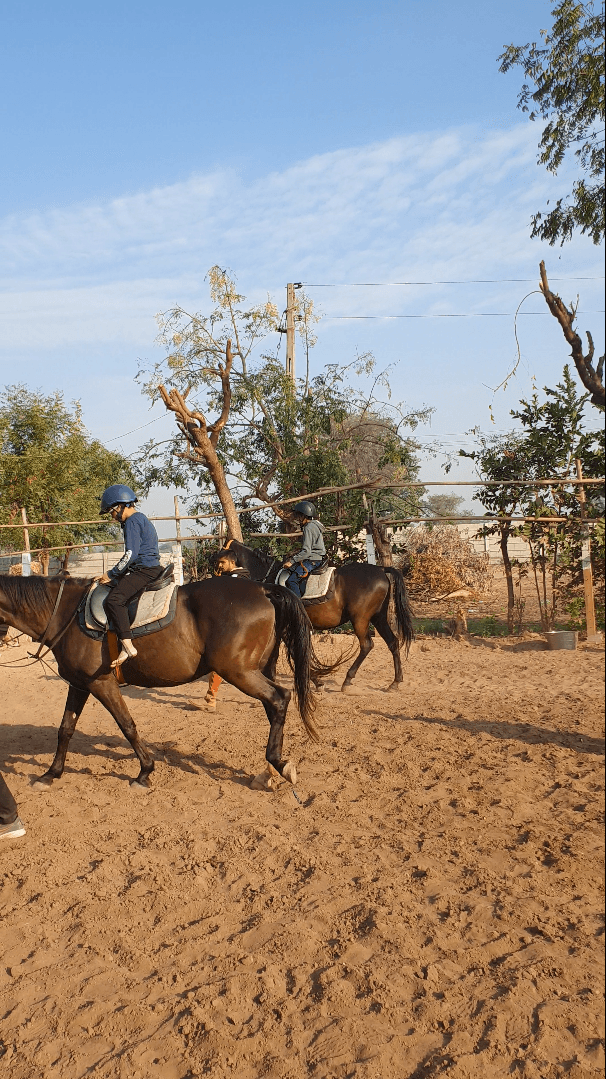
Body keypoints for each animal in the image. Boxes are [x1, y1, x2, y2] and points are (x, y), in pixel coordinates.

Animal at [0, 574, 325, 794]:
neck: (67, 614)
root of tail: (263, 588)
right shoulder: (79, 685)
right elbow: (65, 729)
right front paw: (51, 774)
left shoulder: (102, 684)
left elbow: (127, 726)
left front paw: (144, 772)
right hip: (256, 669)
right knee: (274, 707)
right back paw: (270, 770)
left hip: (240, 672)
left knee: (280, 698)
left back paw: (277, 763)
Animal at [214, 539, 411, 690]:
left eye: (222, 552)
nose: (215, 573)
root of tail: (381, 570)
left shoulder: (286, 628)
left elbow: (292, 653)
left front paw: (315, 680)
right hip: (378, 617)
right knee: (393, 642)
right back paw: (395, 682)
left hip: (360, 619)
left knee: (367, 645)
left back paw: (348, 680)